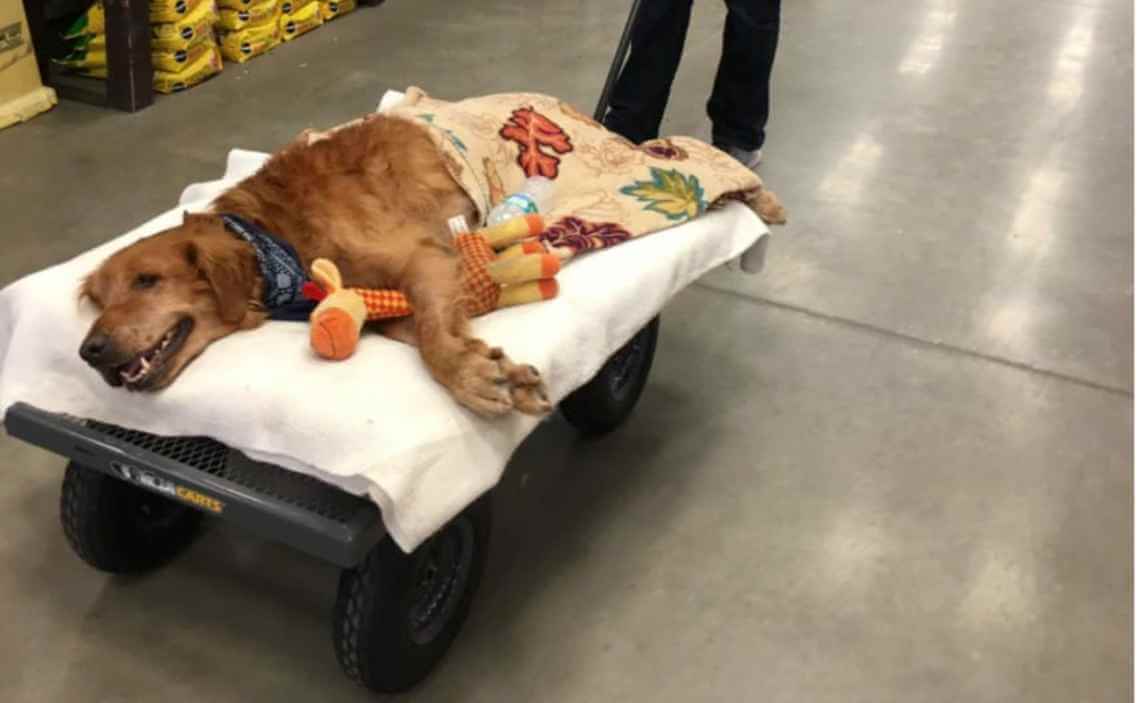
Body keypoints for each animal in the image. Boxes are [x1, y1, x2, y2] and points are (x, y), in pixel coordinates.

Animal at [78, 112, 549, 414]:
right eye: (100, 302)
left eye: (147, 280)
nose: (88, 352)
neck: (272, 239)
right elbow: (416, 329)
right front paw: (493, 366)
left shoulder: (424, 256)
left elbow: (432, 335)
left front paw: (466, 374)